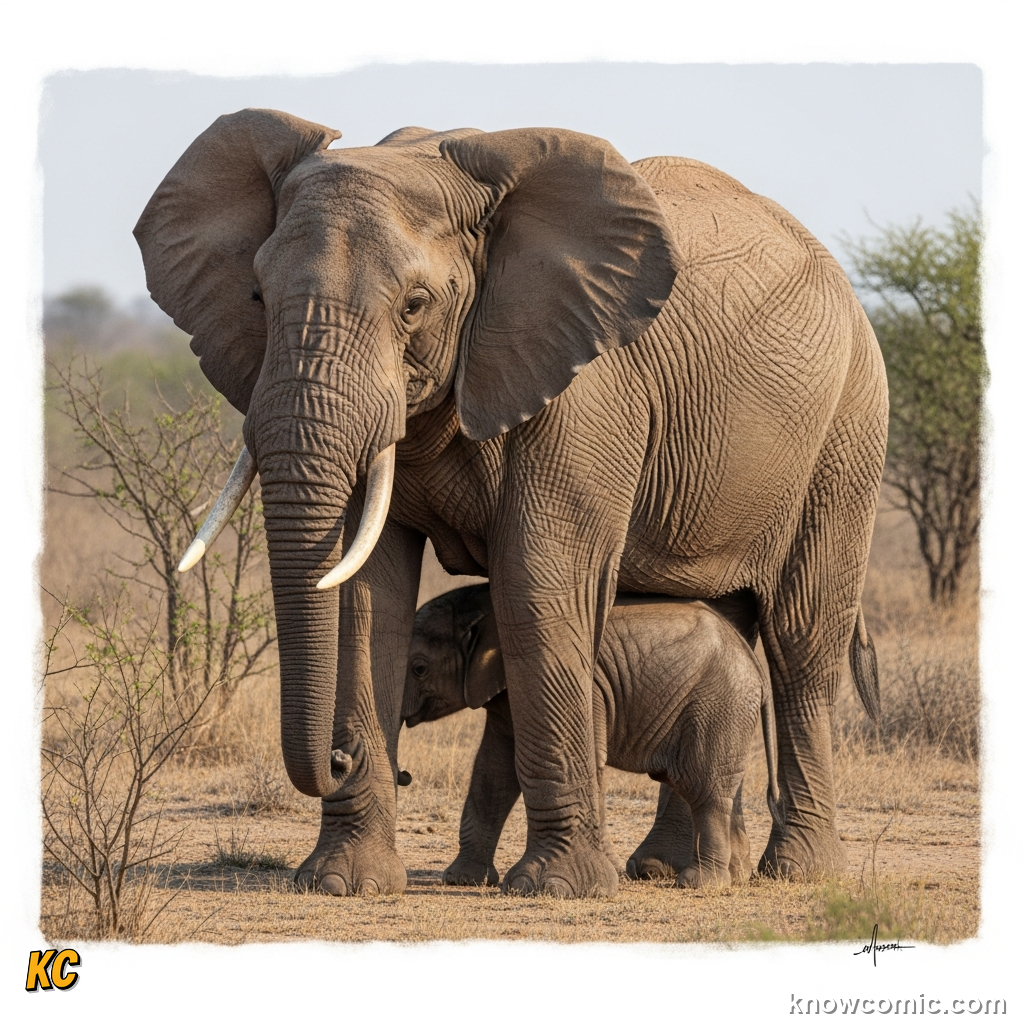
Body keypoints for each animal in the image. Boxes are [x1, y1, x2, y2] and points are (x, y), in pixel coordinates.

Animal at [402, 584, 782, 890]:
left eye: (419, 668)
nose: (405, 775)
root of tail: (756, 669)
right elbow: (493, 770)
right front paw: (463, 879)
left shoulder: (589, 686)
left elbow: (583, 758)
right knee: (719, 786)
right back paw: (736, 876)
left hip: (718, 704)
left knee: (704, 790)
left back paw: (698, 883)